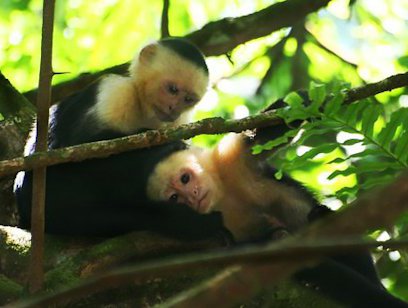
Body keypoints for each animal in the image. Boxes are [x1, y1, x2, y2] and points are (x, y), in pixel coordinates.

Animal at [147, 134, 408, 306]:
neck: (221, 194)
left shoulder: (227, 160)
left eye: (185, 178)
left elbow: (265, 133)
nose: (191, 197)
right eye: (174, 198)